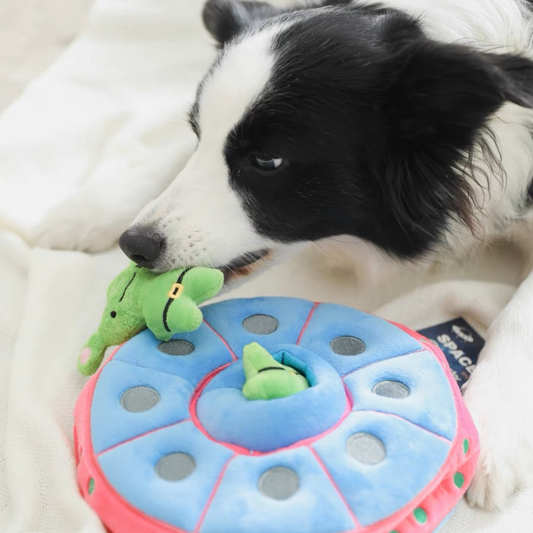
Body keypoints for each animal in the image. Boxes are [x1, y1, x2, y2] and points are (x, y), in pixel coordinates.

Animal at [39, 0, 532, 510]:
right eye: (198, 132)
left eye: (268, 162)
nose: (135, 244)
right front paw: (90, 209)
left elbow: (519, 314)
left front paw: (494, 427)